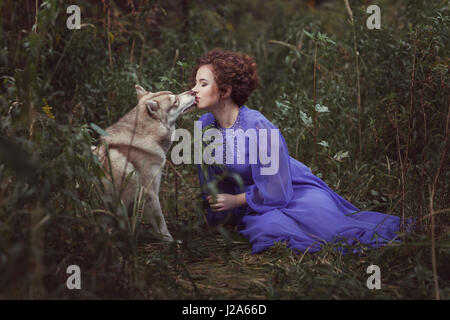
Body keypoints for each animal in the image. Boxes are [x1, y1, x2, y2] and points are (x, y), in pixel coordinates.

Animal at [91, 85, 195, 242]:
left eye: (174, 94)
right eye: (175, 101)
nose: (193, 91)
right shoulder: (150, 193)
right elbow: (161, 223)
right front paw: (170, 241)